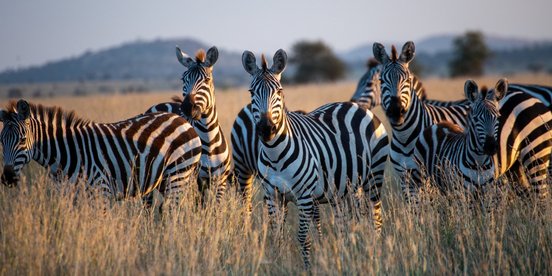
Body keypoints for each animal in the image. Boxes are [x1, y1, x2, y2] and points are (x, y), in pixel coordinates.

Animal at [1, 99, 202, 207]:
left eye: (22, 140)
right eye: (1, 142)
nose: (7, 178)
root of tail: (181, 119)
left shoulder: (101, 191)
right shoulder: (68, 197)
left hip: (178, 174)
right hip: (164, 180)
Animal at [143, 46, 232, 204]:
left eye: (207, 79)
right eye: (183, 79)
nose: (187, 107)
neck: (209, 140)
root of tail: (160, 104)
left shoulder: (220, 182)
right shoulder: (194, 182)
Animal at [240, 48, 388, 266]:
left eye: (280, 92)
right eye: (251, 92)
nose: (267, 129)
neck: (275, 154)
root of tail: (357, 106)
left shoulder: (304, 197)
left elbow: (302, 237)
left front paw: (307, 267)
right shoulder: (272, 196)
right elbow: (277, 236)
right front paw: (278, 263)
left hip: (373, 178)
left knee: (375, 219)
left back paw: (376, 254)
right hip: (345, 189)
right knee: (347, 224)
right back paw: (347, 255)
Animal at [370, 40, 552, 201]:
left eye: (407, 80)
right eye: (381, 81)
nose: (396, 112)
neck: (405, 136)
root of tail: (530, 97)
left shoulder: (430, 178)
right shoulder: (406, 179)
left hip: (536, 155)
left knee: (540, 196)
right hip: (515, 165)